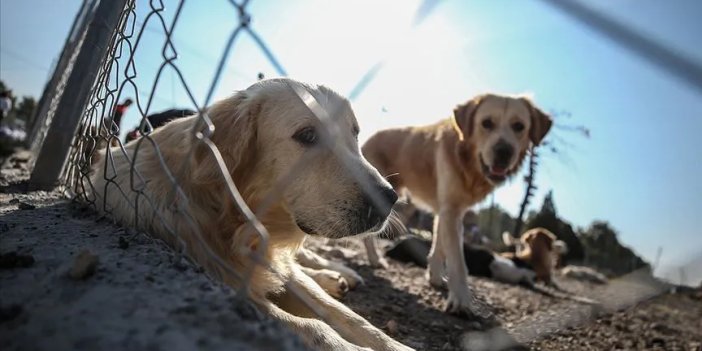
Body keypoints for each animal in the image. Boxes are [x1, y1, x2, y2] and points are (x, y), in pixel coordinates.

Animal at [84, 77, 412, 351]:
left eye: (355, 134)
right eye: (307, 135)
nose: (389, 199)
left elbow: (351, 318)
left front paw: (396, 346)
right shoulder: (225, 283)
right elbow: (314, 327)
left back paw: (338, 274)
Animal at [364, 94, 556, 316]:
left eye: (519, 126)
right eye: (486, 123)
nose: (503, 152)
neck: (468, 162)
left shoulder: (447, 210)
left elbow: (439, 247)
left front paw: (436, 278)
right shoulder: (451, 211)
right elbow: (457, 259)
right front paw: (461, 300)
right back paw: (374, 259)